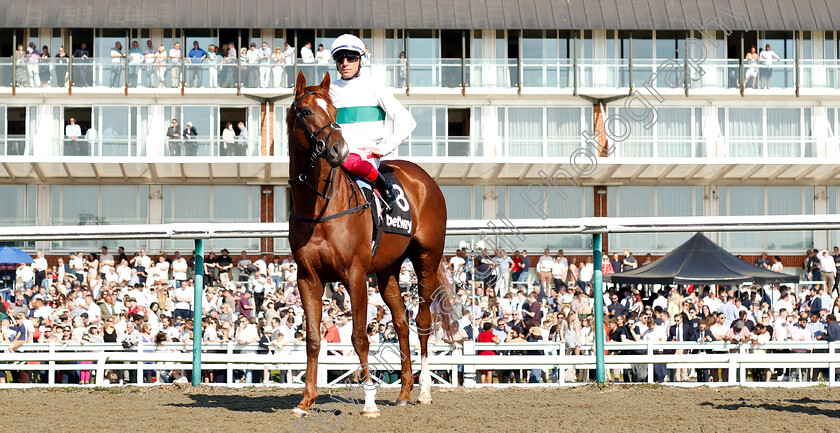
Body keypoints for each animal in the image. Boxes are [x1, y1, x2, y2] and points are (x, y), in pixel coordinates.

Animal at [288, 71, 460, 418]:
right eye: (307, 111)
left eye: (335, 112)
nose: (339, 149)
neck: (320, 207)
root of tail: (425, 179)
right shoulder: (307, 277)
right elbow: (312, 338)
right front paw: (305, 401)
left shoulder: (354, 275)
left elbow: (359, 337)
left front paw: (368, 401)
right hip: (387, 272)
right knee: (402, 322)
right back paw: (405, 391)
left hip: (426, 258)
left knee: (422, 321)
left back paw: (423, 391)